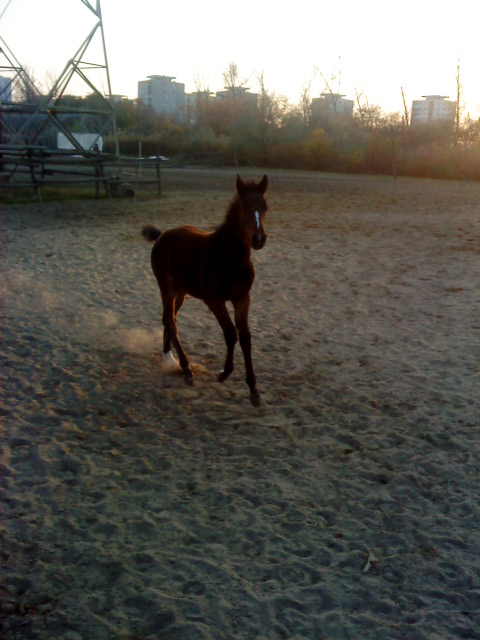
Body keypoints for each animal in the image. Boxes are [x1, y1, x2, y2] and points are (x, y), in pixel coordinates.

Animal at [141, 174, 269, 406]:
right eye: (244, 207)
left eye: (264, 208)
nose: (258, 239)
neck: (229, 258)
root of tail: (163, 235)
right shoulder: (214, 299)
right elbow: (230, 334)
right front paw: (223, 373)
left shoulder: (242, 298)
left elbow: (245, 337)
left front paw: (254, 391)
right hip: (166, 288)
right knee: (170, 321)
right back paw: (186, 368)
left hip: (181, 292)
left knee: (168, 318)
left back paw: (169, 358)